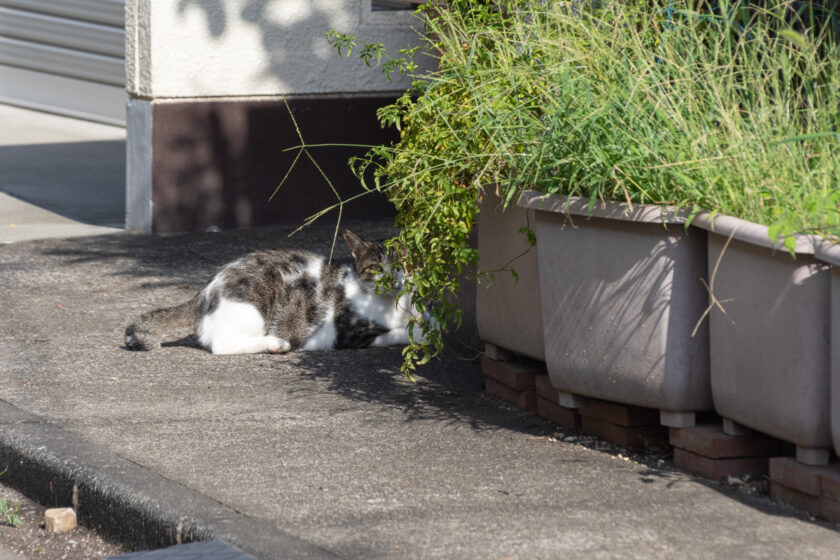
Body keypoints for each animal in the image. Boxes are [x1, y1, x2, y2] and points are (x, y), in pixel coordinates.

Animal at [124, 229, 416, 352]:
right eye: (376, 268)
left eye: (403, 264)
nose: (393, 281)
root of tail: (205, 291)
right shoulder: (351, 334)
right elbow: (400, 334)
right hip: (252, 308)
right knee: (221, 344)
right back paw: (276, 344)